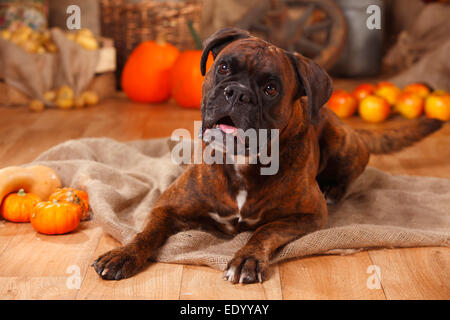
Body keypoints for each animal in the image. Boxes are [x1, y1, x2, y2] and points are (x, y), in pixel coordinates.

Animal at [92, 27, 442, 282]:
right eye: (223, 67)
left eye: (270, 89)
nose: (237, 93)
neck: (242, 162)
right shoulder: (168, 206)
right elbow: (145, 232)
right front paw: (123, 255)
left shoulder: (307, 215)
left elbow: (264, 231)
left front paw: (246, 259)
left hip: (343, 143)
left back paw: (332, 189)